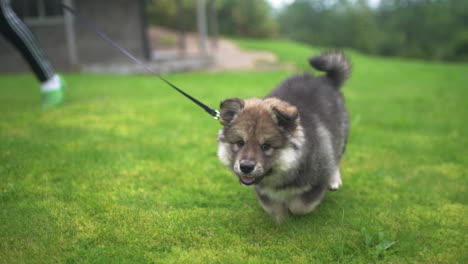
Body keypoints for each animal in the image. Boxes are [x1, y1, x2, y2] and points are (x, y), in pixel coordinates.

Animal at [217, 51, 352, 221]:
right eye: (240, 143)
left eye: (266, 146)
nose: (246, 167)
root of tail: (326, 80)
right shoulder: (261, 189)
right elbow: (271, 206)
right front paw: (280, 216)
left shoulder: (319, 178)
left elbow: (300, 205)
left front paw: (290, 212)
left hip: (340, 137)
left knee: (337, 160)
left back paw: (334, 180)